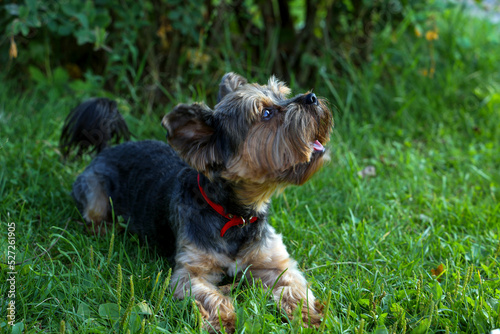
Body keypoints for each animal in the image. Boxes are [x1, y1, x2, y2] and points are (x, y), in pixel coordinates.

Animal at [60, 73, 332, 332]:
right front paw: (226, 321)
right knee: (93, 217)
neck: (234, 215)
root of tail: (105, 149)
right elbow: (209, 295)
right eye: (266, 113)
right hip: (94, 191)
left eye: (282, 94)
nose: (312, 97)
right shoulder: (190, 271)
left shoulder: (274, 263)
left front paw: (308, 317)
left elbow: (293, 286)